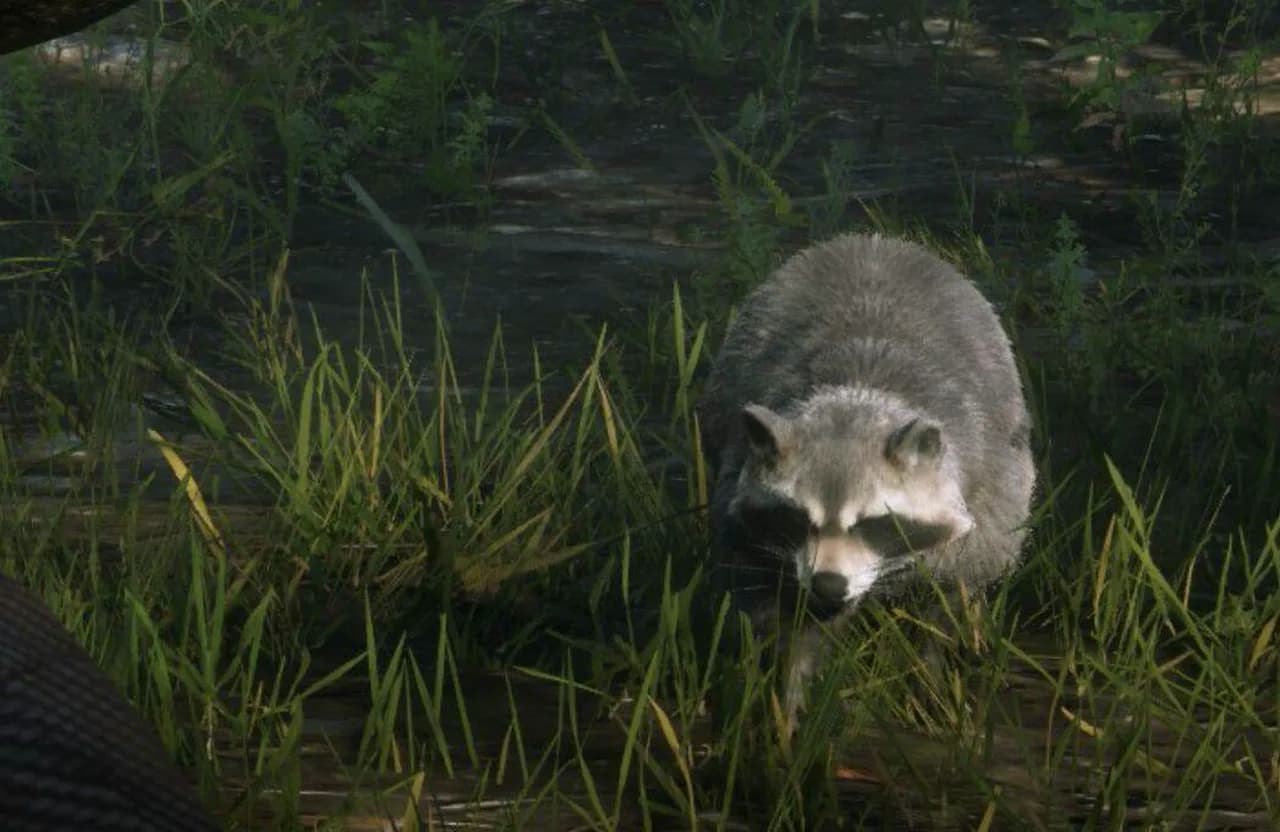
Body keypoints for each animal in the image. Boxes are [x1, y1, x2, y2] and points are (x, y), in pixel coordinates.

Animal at [699, 233, 1035, 728]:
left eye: (871, 522)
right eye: (799, 518)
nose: (828, 585)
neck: (855, 400)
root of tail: (873, 240)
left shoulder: (985, 486)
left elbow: (950, 600)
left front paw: (931, 678)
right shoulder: (742, 504)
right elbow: (787, 621)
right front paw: (788, 705)